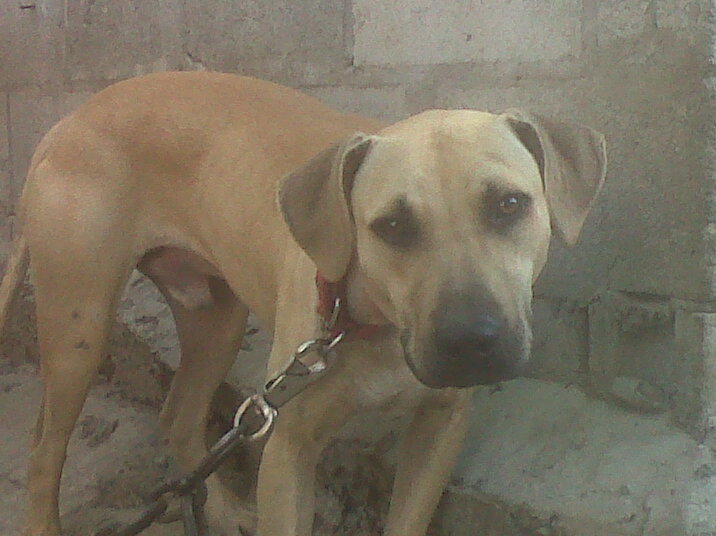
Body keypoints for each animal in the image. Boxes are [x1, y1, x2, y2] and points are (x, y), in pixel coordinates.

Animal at [0, 71, 606, 535]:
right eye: (391, 226)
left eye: (509, 204)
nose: (470, 340)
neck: (370, 322)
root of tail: (67, 120)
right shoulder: (288, 448)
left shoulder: (440, 425)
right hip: (79, 328)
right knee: (43, 448)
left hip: (216, 319)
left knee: (180, 415)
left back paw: (224, 511)